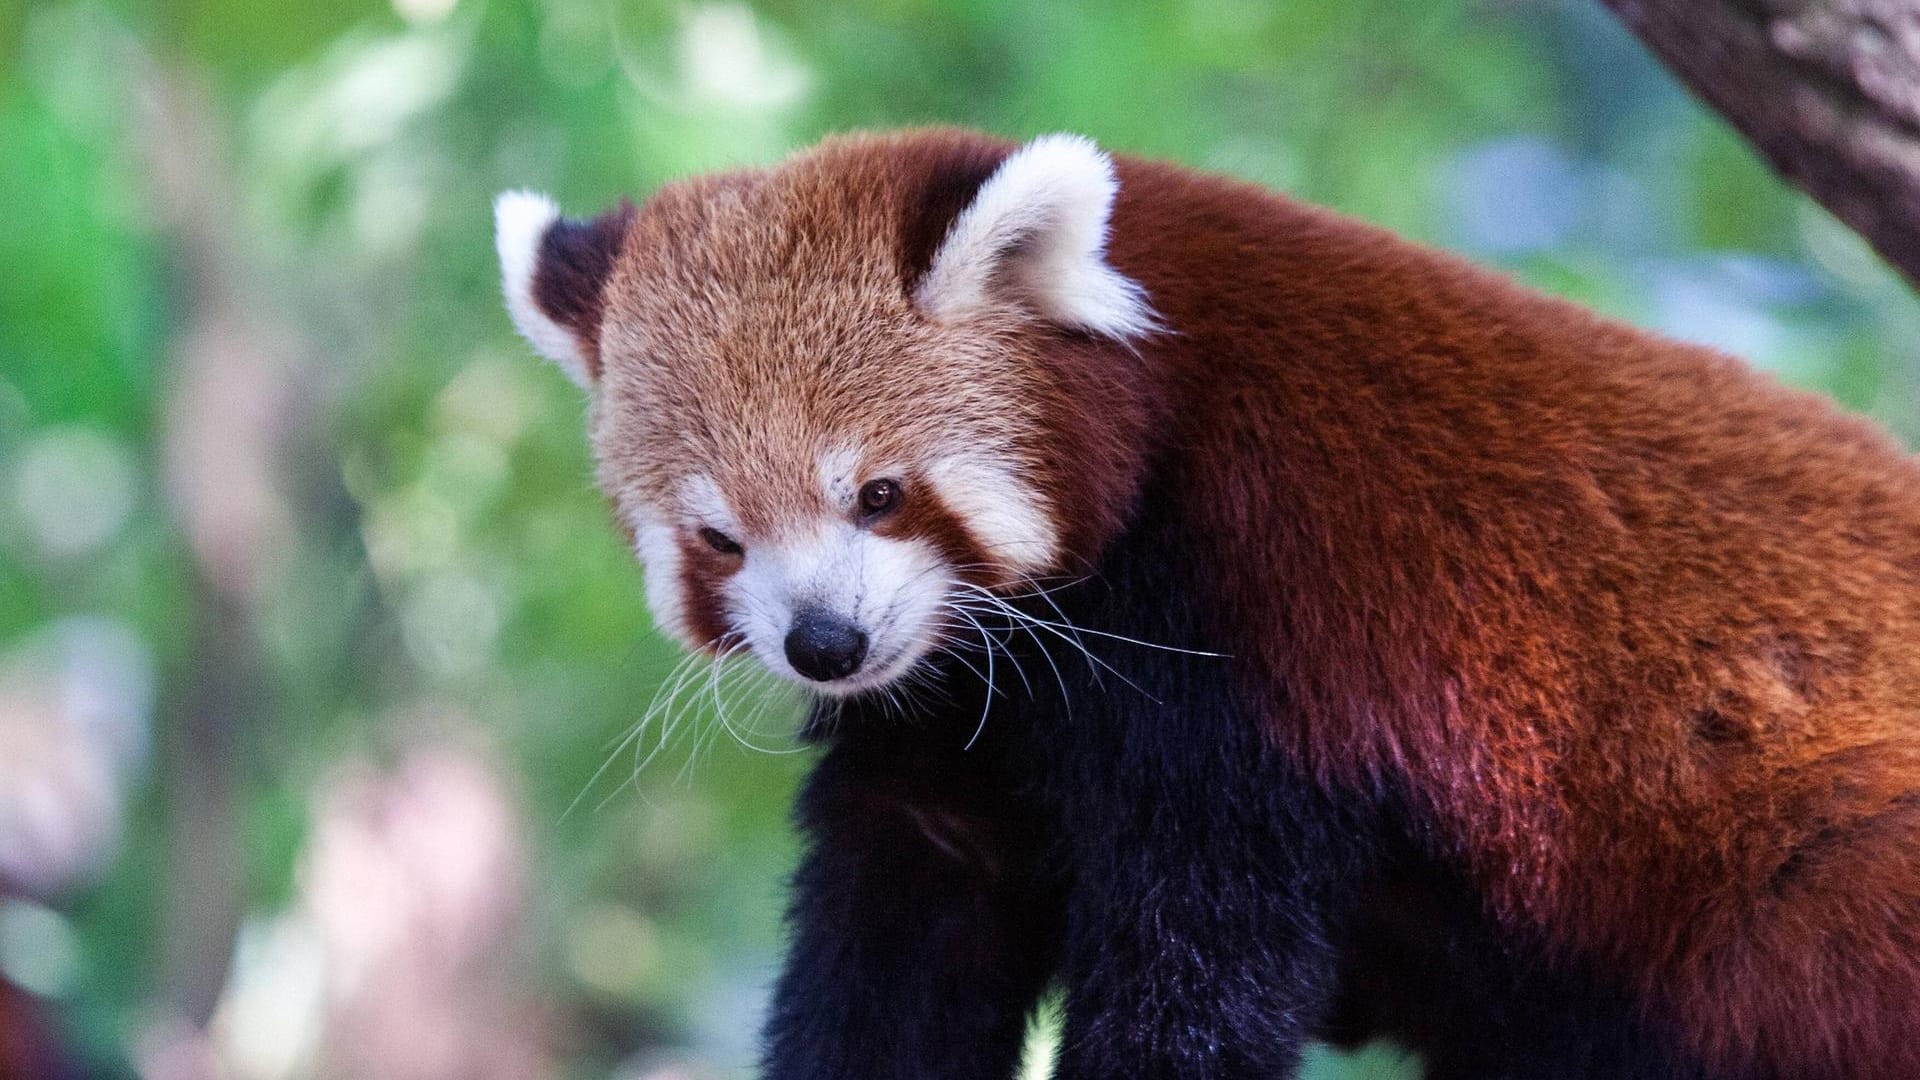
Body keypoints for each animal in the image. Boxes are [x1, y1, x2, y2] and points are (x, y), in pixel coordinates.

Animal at [499, 127, 1920, 1076]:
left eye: (881, 494)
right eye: (720, 540)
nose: (826, 644)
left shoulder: (1263, 647)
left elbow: (1199, 961)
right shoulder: (951, 723)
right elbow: (906, 923)